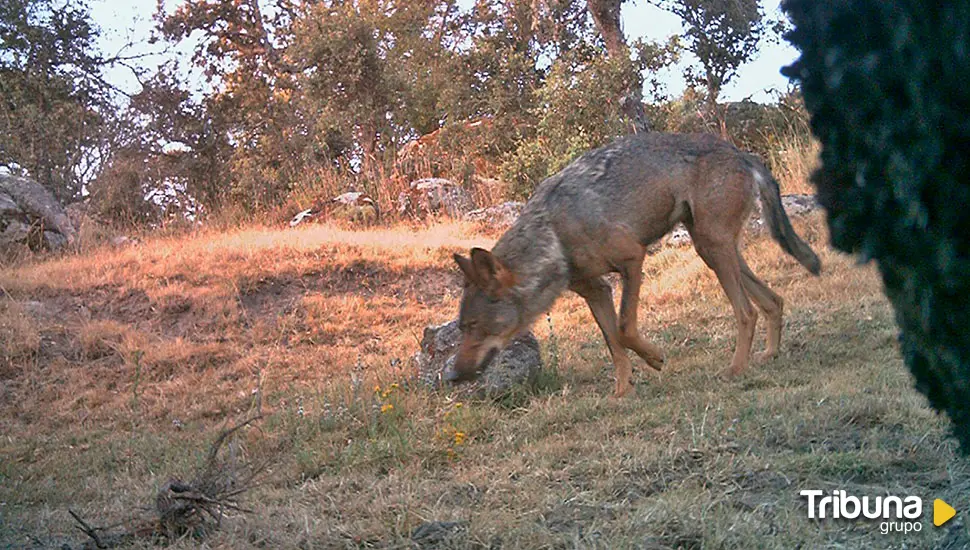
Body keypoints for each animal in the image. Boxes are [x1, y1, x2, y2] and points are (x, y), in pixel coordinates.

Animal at [446, 134, 816, 402]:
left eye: (474, 326)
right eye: (461, 328)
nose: (452, 376)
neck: (554, 231)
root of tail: (742, 153)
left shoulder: (632, 260)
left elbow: (624, 329)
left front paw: (655, 358)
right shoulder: (596, 291)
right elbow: (613, 344)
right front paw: (622, 392)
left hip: (714, 249)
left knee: (747, 312)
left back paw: (736, 369)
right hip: (712, 250)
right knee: (773, 301)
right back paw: (769, 354)